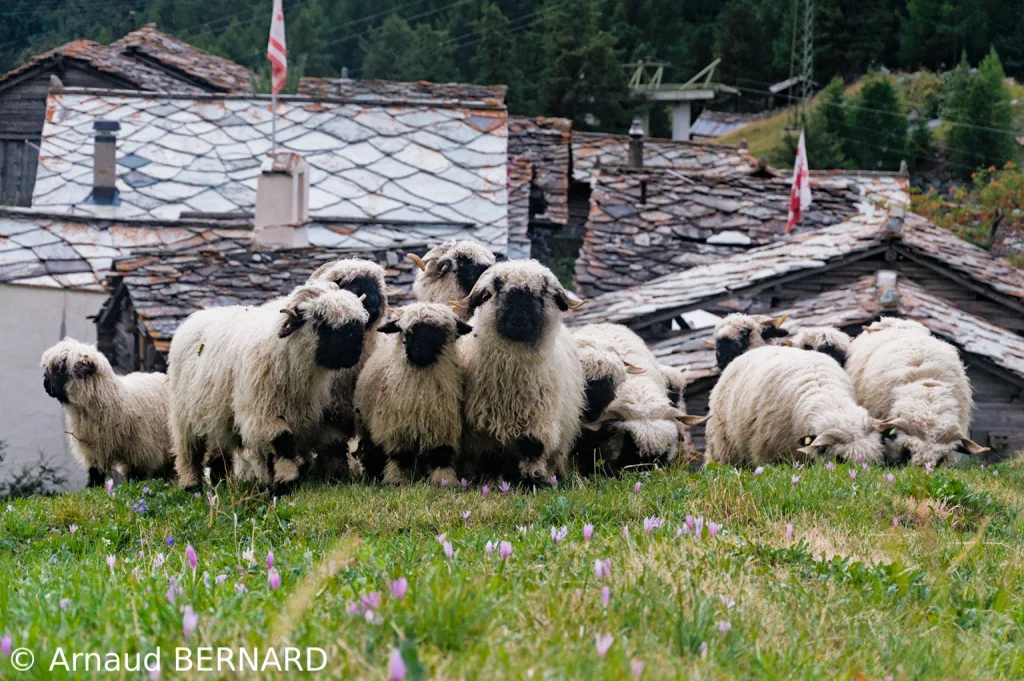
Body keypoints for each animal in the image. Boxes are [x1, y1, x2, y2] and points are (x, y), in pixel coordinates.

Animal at [41, 338, 173, 486]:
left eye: (61, 368)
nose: (45, 385)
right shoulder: (94, 449)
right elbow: (95, 472)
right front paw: (93, 486)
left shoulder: (140, 451)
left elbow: (136, 476)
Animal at [168, 280, 369, 492]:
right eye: (321, 319)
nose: (356, 352)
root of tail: (196, 316)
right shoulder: (262, 411)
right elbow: (283, 441)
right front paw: (286, 482)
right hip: (184, 414)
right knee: (188, 451)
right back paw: (191, 484)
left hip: (217, 412)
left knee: (218, 447)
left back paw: (220, 480)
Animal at [352, 303, 473, 485]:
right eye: (407, 332)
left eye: (439, 333)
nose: (420, 351)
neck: (421, 392)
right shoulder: (397, 427)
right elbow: (400, 456)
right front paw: (396, 480)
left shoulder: (442, 425)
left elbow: (441, 454)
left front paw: (444, 481)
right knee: (372, 453)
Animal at [457, 260, 586, 484]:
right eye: (498, 288)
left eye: (542, 291)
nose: (518, 319)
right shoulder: (484, 424)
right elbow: (490, 455)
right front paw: (490, 480)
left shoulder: (538, 416)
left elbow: (533, 447)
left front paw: (533, 480)